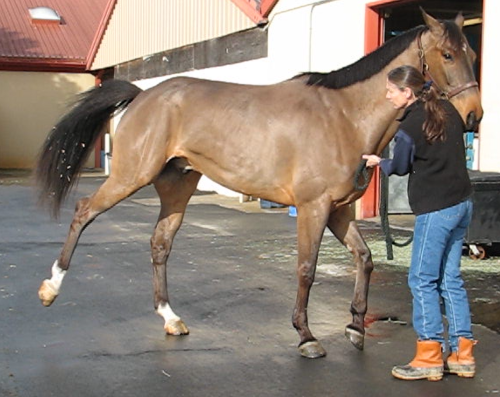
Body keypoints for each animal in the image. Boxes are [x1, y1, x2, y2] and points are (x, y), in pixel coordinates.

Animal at [34, 9, 480, 358]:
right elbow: (306, 270)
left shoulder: (339, 211)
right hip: (131, 176)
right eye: (446, 54)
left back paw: (171, 318)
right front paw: (306, 336)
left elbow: (365, 258)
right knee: (84, 212)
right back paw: (50, 288)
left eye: (473, 54)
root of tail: (144, 95)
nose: (473, 115)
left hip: (177, 188)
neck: (344, 117)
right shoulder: (314, 208)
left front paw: (355, 327)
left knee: (160, 244)